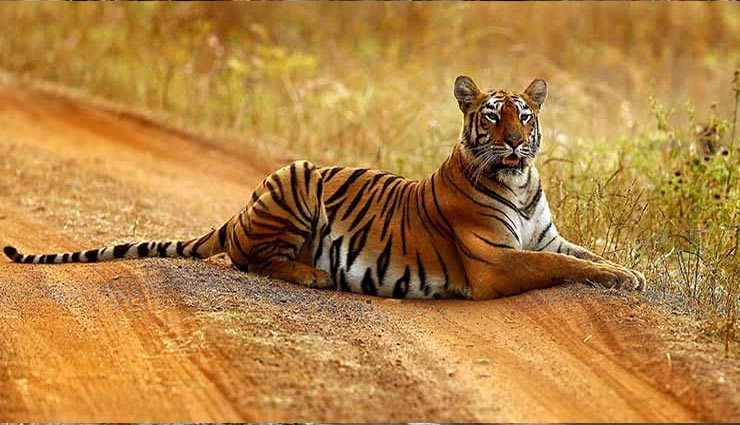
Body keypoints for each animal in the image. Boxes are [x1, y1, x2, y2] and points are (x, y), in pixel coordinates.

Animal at [3, 76, 645, 300]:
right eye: (491, 116)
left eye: (524, 116)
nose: (513, 143)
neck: (518, 181)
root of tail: (239, 209)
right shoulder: (497, 262)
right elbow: (563, 267)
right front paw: (623, 279)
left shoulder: (547, 236)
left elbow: (587, 255)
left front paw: (634, 273)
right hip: (296, 178)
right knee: (246, 258)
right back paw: (313, 274)